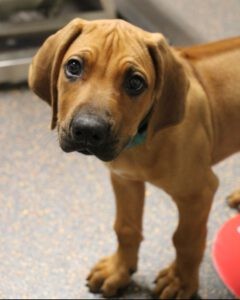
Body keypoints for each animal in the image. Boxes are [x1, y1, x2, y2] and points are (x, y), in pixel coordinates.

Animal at [28, 18, 240, 298]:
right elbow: (125, 227)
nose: (88, 130)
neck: (140, 142)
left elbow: (186, 239)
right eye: (73, 66)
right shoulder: (124, 179)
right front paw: (119, 271)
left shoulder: (198, 192)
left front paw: (181, 281)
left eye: (135, 82)